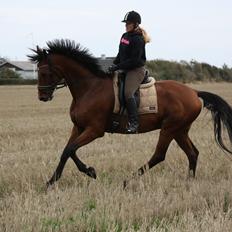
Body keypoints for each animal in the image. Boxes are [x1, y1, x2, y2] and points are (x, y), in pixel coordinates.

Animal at [28, 40, 232, 188]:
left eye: (44, 72)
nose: (42, 96)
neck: (89, 88)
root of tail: (194, 92)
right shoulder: (78, 127)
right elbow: (67, 151)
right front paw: (55, 180)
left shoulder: (94, 130)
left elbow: (70, 150)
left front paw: (84, 173)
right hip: (180, 130)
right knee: (192, 153)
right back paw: (189, 181)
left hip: (169, 128)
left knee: (159, 155)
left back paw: (128, 180)